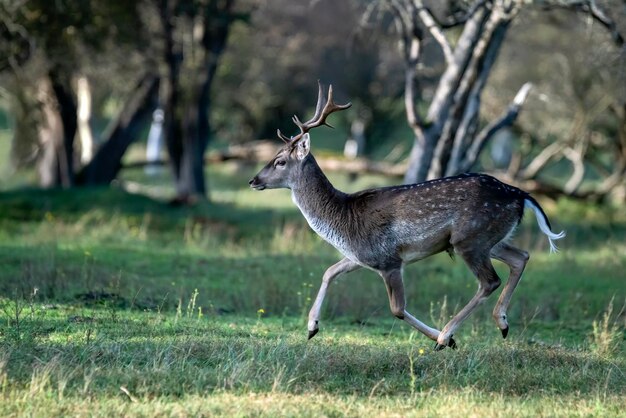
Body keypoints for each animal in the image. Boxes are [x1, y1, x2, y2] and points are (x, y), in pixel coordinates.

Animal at [249, 82, 564, 350]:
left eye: (280, 161)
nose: (253, 180)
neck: (342, 219)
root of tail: (520, 194)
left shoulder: (389, 259)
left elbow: (397, 309)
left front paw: (445, 340)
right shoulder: (361, 256)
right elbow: (329, 272)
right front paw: (312, 327)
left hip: (469, 238)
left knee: (490, 280)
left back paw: (447, 334)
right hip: (492, 238)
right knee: (521, 256)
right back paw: (502, 323)